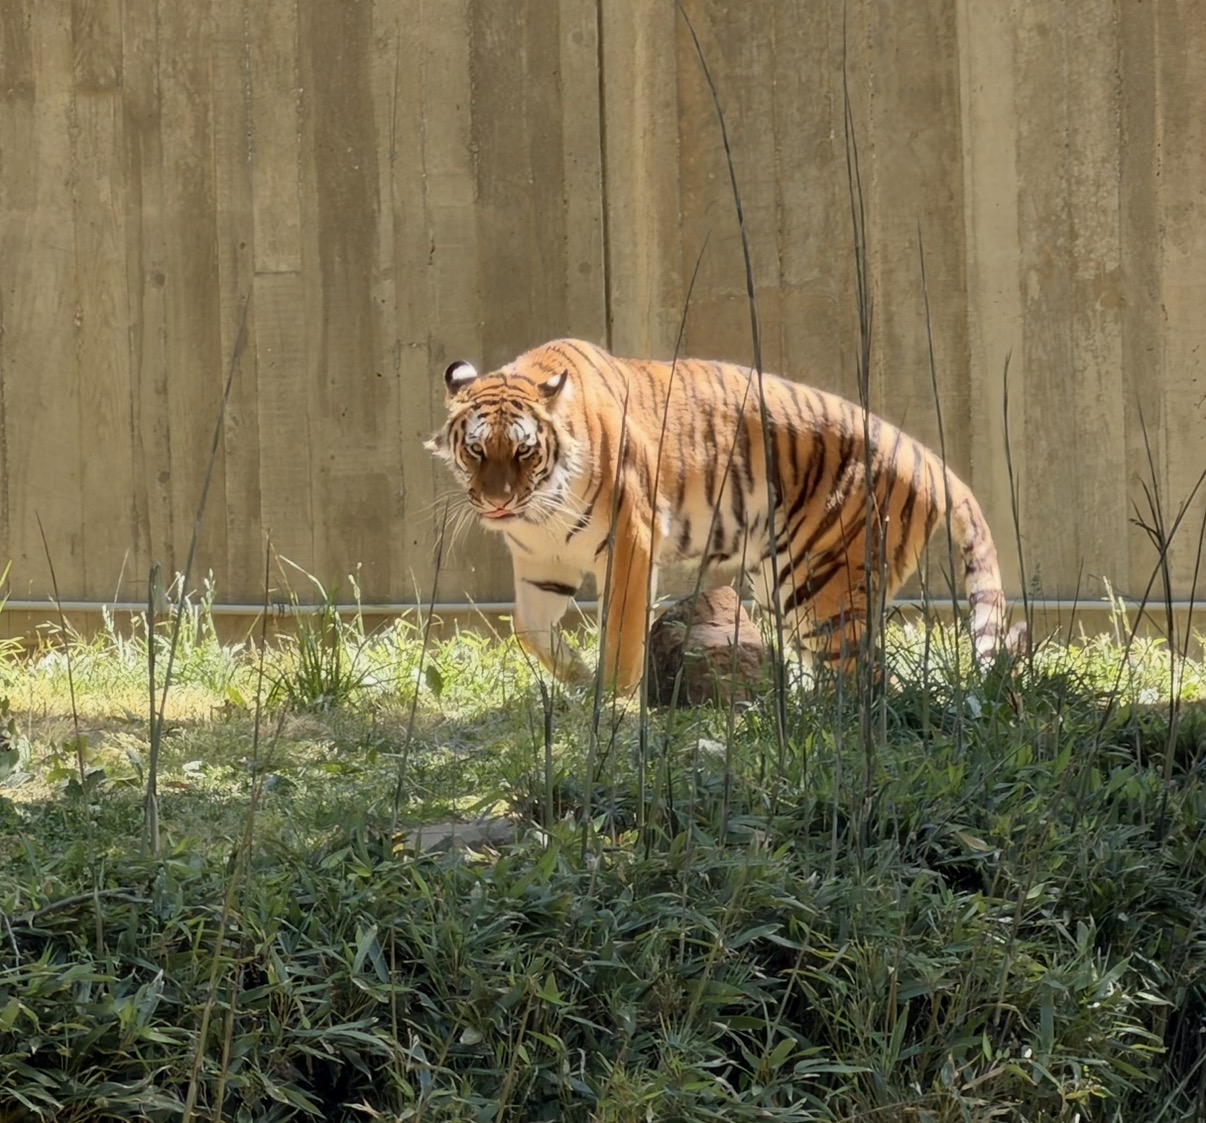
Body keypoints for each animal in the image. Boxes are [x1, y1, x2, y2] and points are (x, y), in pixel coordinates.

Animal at [425, 337, 1016, 692]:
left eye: (523, 451)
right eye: (476, 450)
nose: (498, 501)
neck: (538, 510)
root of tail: (922, 451)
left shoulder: (631, 539)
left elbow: (621, 633)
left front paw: (614, 703)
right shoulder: (543, 563)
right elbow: (527, 625)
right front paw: (574, 673)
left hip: (824, 585)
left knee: (862, 677)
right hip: (785, 583)